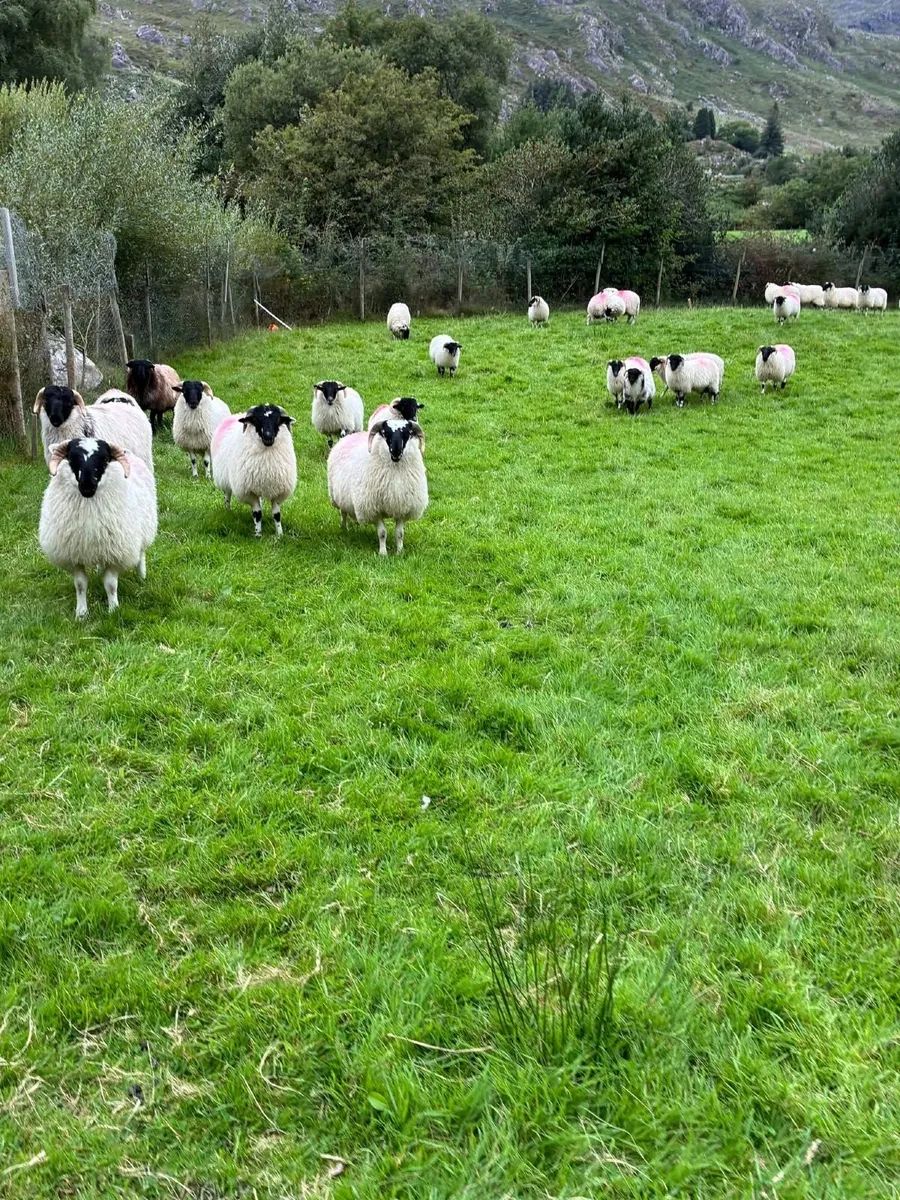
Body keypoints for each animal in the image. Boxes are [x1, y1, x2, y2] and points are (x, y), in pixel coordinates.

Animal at [39, 437, 158, 619]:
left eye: (104, 460)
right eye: (72, 458)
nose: (87, 486)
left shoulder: (115, 554)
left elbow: (111, 585)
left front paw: (113, 609)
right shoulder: (75, 556)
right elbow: (80, 585)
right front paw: (81, 614)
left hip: (143, 529)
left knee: (141, 554)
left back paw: (142, 576)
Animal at [211, 405, 297, 538]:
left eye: (278, 420)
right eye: (256, 420)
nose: (268, 436)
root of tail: (235, 415)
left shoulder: (278, 490)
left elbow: (277, 515)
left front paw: (280, 535)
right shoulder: (250, 491)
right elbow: (257, 514)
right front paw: (258, 535)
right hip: (224, 478)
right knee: (227, 496)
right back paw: (228, 511)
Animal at [328, 418, 427, 556]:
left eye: (407, 433)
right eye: (385, 433)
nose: (396, 452)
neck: (395, 470)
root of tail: (351, 435)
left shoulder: (402, 506)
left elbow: (399, 534)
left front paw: (399, 552)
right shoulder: (374, 509)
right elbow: (382, 533)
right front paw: (383, 553)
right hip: (337, 495)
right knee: (343, 512)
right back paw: (344, 528)